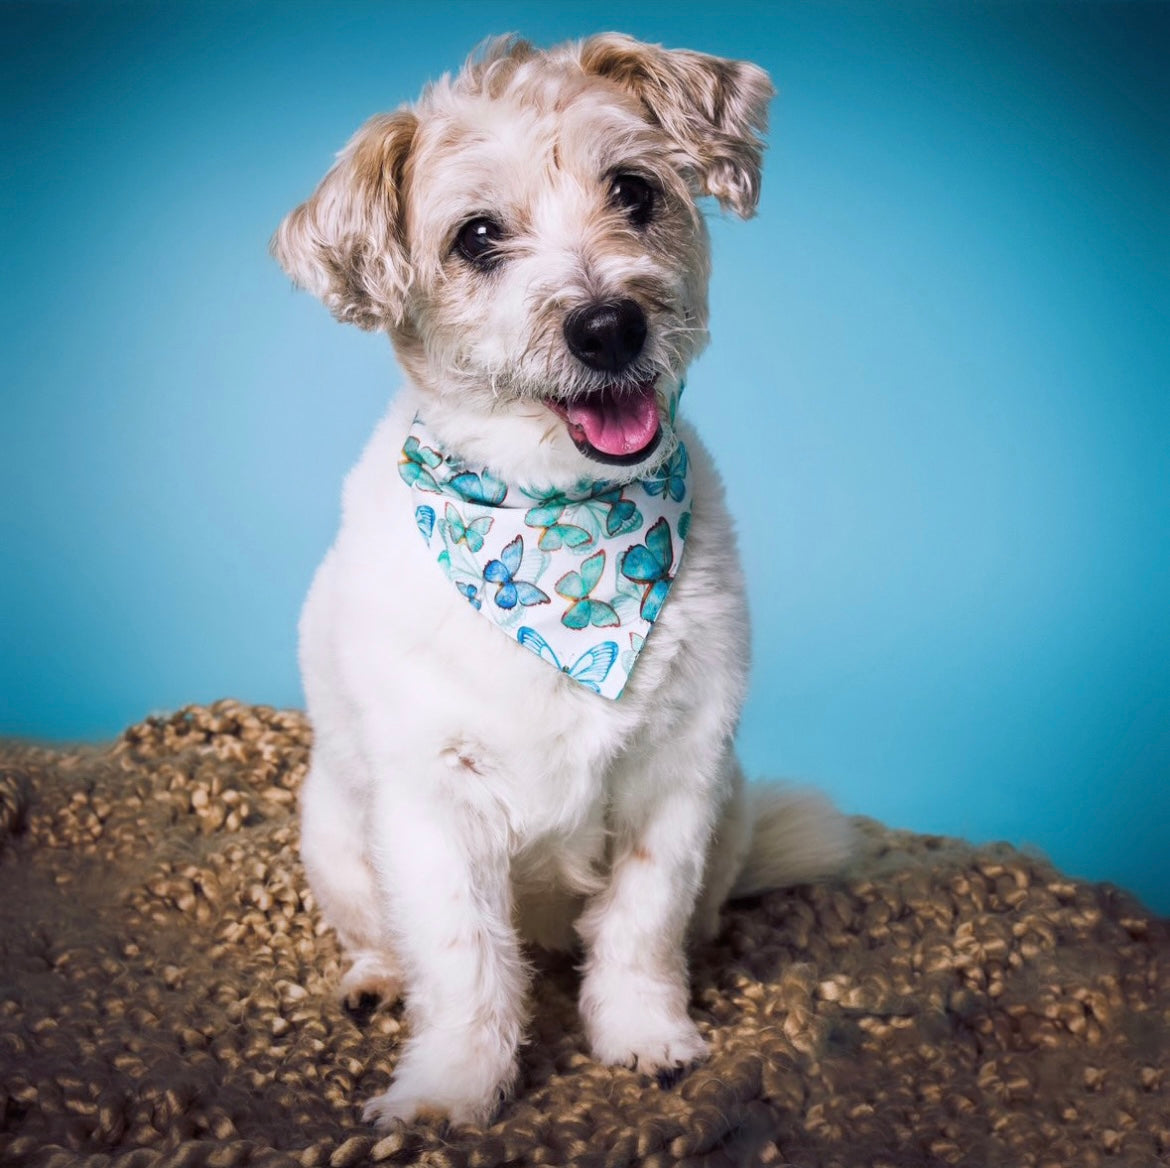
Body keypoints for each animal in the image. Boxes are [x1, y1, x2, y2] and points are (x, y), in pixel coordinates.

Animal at [278, 36, 856, 1128]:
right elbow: (461, 958)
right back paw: (376, 977)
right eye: (476, 236)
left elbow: (640, 927)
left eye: (633, 189)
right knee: (379, 932)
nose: (607, 325)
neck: (558, 519)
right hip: (333, 829)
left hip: (732, 811)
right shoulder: (431, 805)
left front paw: (646, 1036)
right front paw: (449, 1087)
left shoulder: (679, 781)